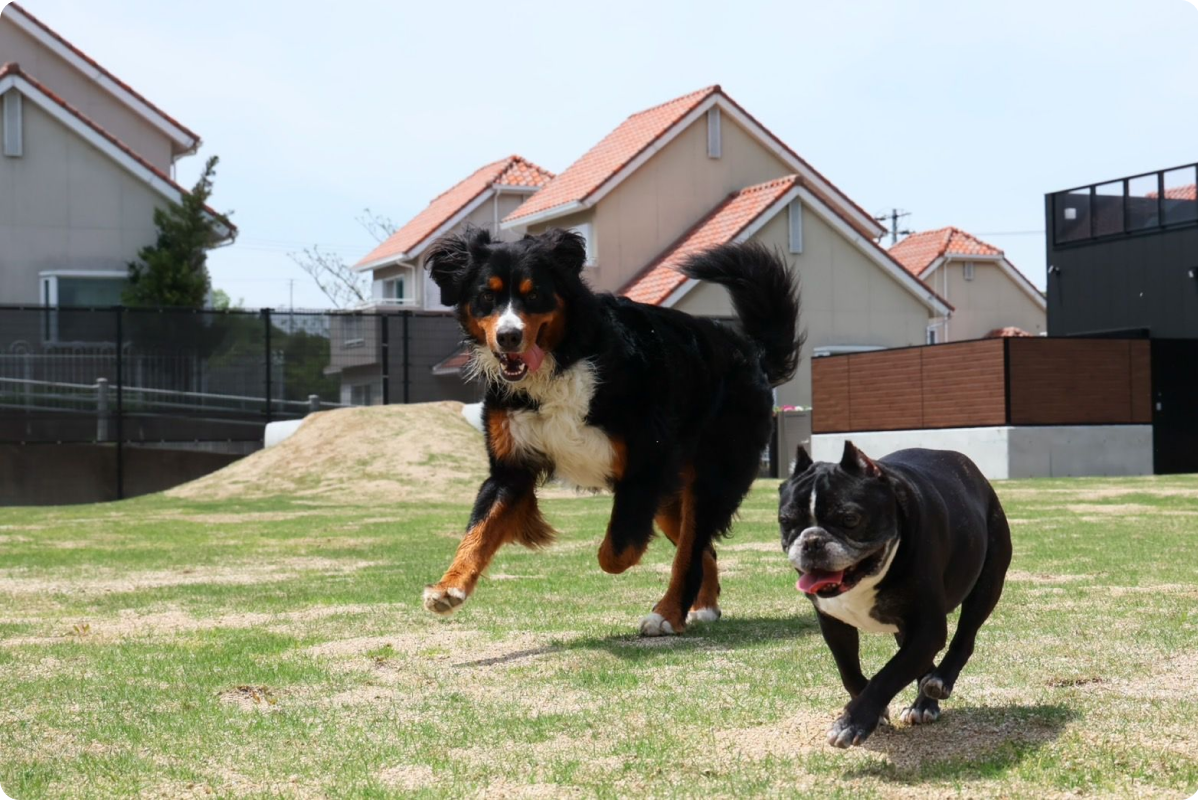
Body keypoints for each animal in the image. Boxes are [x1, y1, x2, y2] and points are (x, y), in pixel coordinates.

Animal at [416, 226, 800, 637]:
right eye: (487, 296)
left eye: (534, 294)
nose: (508, 336)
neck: (563, 361)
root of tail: (752, 353)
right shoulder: (511, 467)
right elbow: (480, 530)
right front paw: (450, 587)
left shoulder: (646, 465)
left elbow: (616, 551)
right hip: (671, 495)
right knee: (702, 548)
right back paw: (703, 606)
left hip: (709, 475)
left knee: (692, 547)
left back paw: (667, 613)